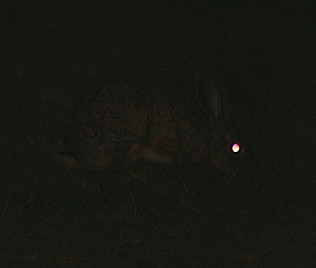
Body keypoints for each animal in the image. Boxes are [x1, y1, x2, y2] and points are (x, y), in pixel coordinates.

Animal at [63, 68, 247, 175]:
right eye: (235, 148)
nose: (235, 171)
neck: (208, 139)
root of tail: (77, 149)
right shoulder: (172, 137)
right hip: (128, 139)